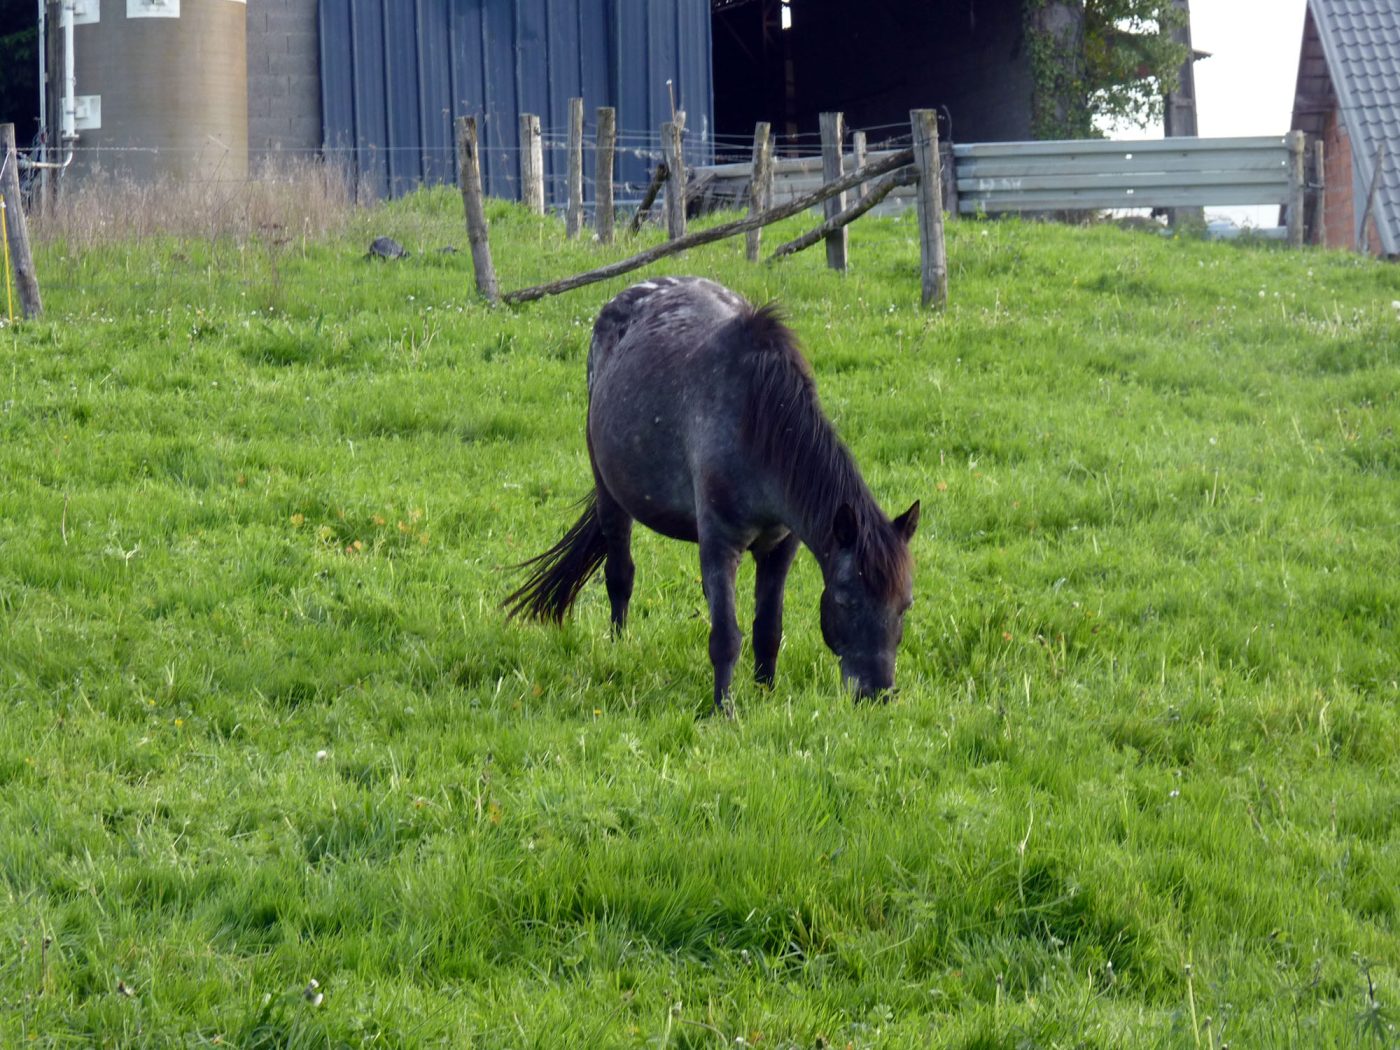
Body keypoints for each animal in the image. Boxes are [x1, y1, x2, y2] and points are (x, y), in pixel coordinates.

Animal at [504, 275, 918, 711]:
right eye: (844, 601)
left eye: (904, 605)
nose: (877, 693)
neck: (758, 423)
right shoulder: (721, 545)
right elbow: (725, 637)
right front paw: (725, 709)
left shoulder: (780, 548)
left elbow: (768, 629)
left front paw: (765, 693)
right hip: (611, 496)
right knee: (620, 576)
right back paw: (618, 649)